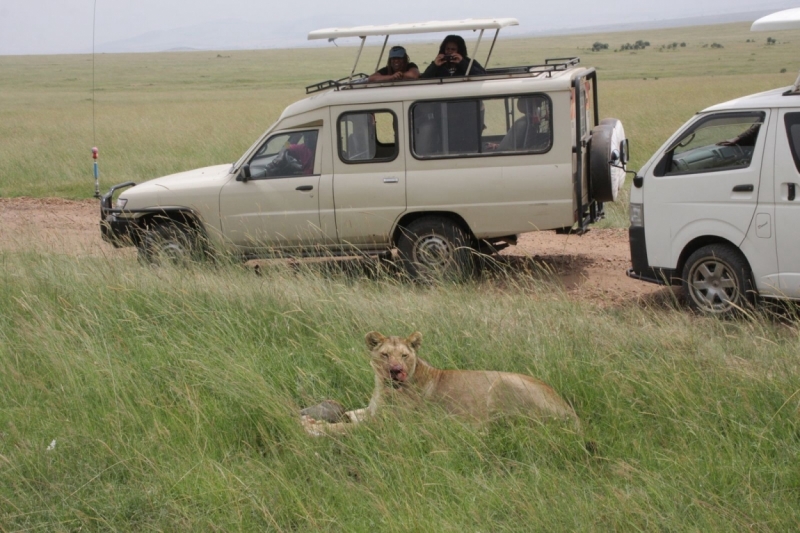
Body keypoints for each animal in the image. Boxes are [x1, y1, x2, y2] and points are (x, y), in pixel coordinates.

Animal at [304, 330, 580, 434]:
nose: (396, 371)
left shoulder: (387, 424)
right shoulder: (372, 411)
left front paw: (316, 426)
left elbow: (344, 428)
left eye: (404, 356)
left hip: (503, 384)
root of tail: (569, 410)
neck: (382, 386)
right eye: (385, 355)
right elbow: (352, 414)